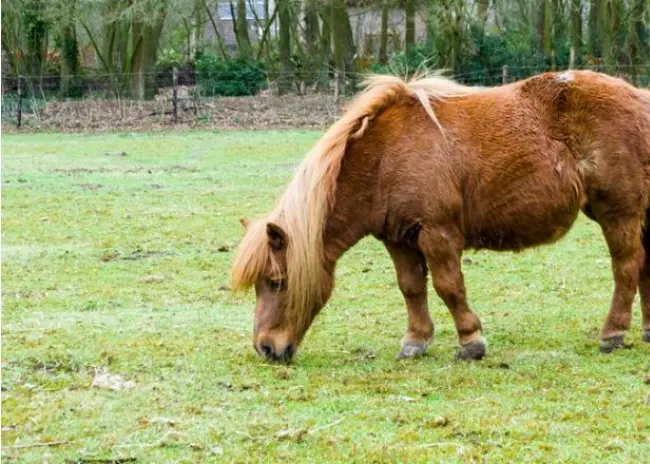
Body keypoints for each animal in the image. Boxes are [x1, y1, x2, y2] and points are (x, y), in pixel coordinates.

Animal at [230, 71, 648, 362]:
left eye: (276, 282)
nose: (265, 348)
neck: (384, 158)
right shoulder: (399, 239)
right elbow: (412, 288)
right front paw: (415, 341)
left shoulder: (437, 233)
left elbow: (449, 286)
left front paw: (471, 341)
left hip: (620, 213)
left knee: (627, 267)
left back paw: (613, 333)